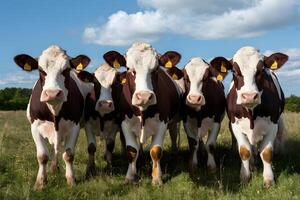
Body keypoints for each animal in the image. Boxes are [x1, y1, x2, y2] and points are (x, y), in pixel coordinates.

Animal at [12, 45, 92, 189]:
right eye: (40, 70)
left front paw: (71, 180)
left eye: (66, 70)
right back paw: (54, 168)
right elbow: (42, 156)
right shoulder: (35, 127)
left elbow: (69, 155)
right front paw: (40, 182)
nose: (52, 93)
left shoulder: (74, 127)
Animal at [102, 42, 180, 186]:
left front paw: (157, 178)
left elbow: (156, 151)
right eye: (128, 68)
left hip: (173, 122)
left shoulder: (162, 123)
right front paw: (130, 176)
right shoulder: (125, 123)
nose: (144, 96)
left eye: (156, 69)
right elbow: (132, 151)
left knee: (173, 135)